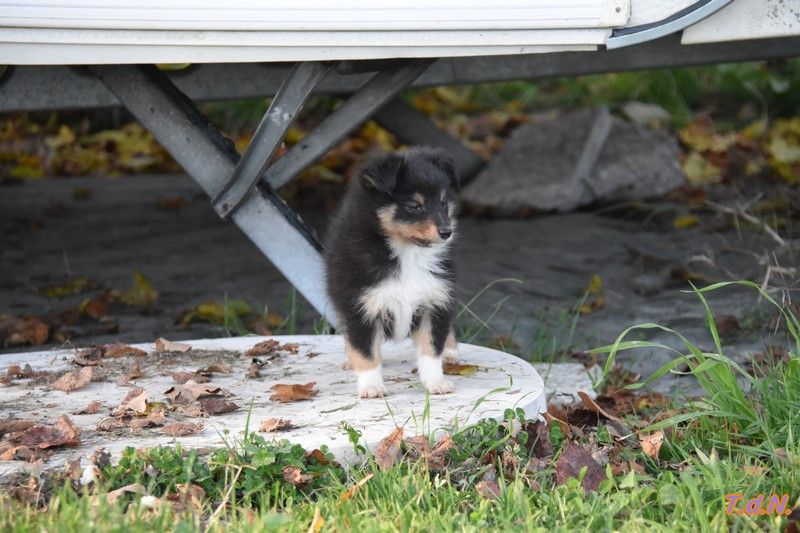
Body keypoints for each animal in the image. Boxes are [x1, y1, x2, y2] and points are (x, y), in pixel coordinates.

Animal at [322, 148, 460, 396]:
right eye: (414, 205)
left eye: (443, 203)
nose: (447, 232)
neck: (408, 252)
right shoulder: (360, 307)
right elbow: (366, 352)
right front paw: (371, 387)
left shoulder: (434, 300)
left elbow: (431, 349)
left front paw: (436, 383)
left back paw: (451, 352)